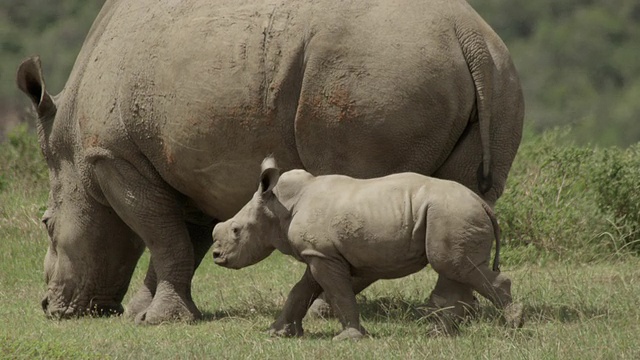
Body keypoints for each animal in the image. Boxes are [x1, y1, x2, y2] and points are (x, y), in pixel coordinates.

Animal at [212, 157, 524, 338]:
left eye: (236, 231)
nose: (216, 256)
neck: (278, 206)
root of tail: (482, 203)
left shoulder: (322, 255)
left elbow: (338, 292)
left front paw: (349, 337)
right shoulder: (320, 253)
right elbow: (300, 291)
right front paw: (277, 333)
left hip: (453, 214)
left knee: (457, 266)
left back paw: (512, 327)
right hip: (450, 215)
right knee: (454, 267)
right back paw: (437, 333)